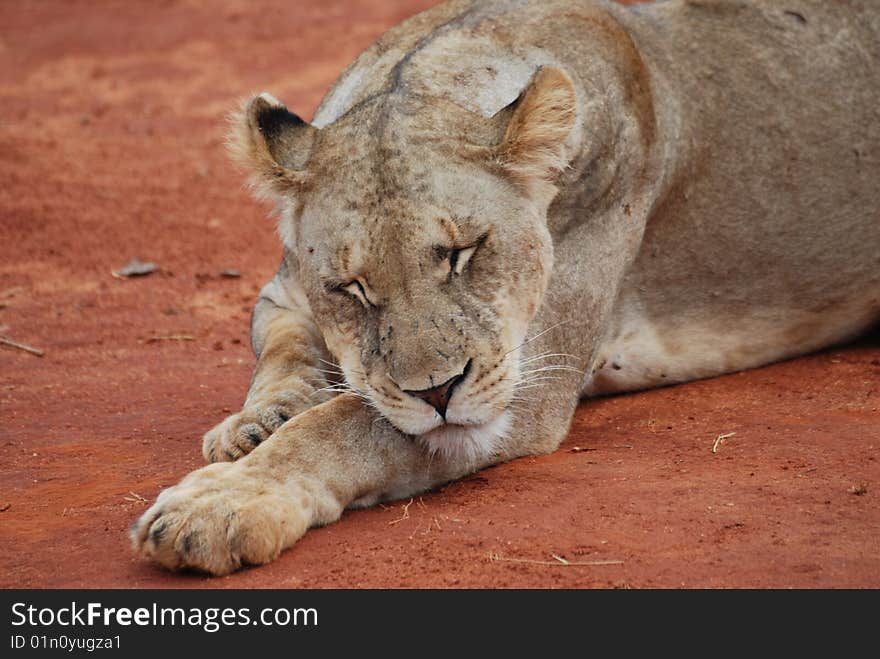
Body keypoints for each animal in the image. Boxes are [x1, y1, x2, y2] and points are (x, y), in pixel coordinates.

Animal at [131, 0, 880, 576]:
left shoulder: (519, 387)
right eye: (352, 288)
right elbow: (285, 355)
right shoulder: (283, 293)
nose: (437, 391)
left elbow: (345, 424)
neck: (425, 74)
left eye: (465, 253)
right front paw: (259, 422)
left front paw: (222, 504)